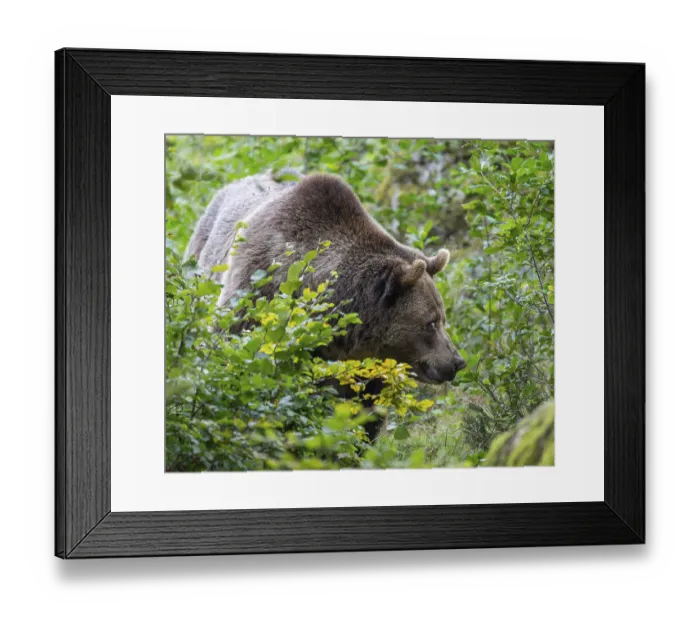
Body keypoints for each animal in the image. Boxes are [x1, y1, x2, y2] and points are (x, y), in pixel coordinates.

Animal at [187, 171, 466, 438]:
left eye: (443, 318)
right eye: (430, 323)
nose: (457, 362)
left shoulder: (365, 369)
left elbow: (366, 415)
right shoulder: (256, 293)